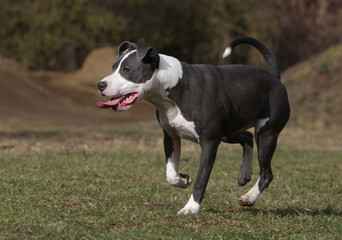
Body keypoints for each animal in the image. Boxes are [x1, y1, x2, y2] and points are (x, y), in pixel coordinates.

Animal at [95, 37, 288, 214]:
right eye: (113, 67)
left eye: (127, 69)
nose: (100, 84)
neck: (174, 87)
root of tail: (274, 77)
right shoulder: (171, 136)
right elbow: (171, 174)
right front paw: (183, 180)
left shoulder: (210, 142)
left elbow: (201, 179)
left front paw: (191, 208)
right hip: (229, 131)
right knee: (247, 137)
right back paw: (244, 174)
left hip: (266, 134)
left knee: (266, 173)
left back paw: (249, 197)